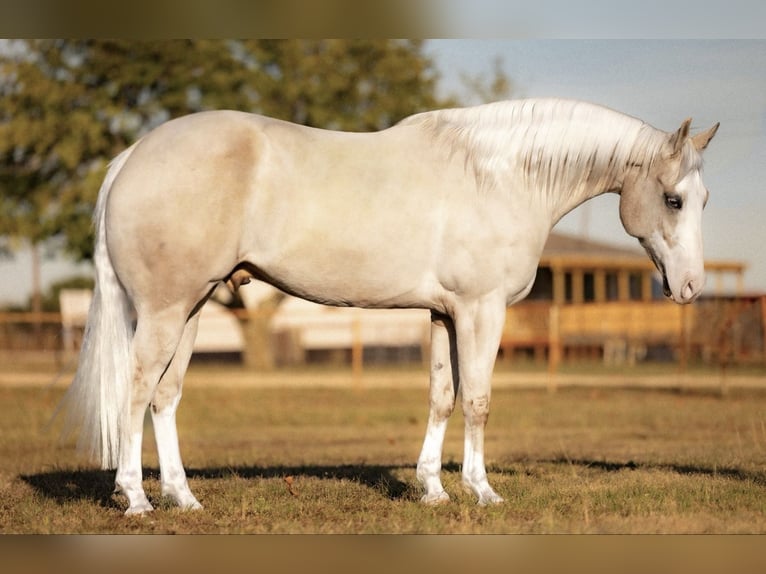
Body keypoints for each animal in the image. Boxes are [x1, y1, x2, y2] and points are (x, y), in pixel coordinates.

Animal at [60, 98, 720, 516]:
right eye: (673, 199)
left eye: (704, 199)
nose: (691, 287)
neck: (499, 175)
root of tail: (132, 157)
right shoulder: (481, 310)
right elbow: (478, 401)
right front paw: (481, 492)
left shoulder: (444, 314)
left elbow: (442, 396)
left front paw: (432, 490)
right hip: (166, 313)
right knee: (136, 391)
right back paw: (136, 499)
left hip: (193, 309)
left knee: (165, 398)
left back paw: (183, 498)